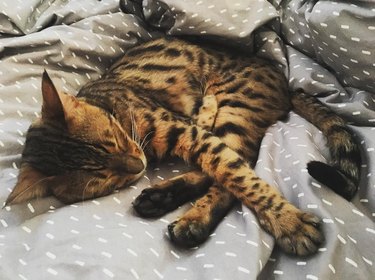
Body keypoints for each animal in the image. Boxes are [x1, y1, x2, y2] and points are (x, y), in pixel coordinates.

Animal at [5, 36, 362, 256]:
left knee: (238, 162)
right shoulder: (188, 132)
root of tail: (286, 82)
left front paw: (288, 221)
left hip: (238, 106)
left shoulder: (184, 130)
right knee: (234, 161)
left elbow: (239, 176)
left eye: (115, 137)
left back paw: (189, 216)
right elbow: (225, 164)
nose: (139, 167)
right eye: (105, 179)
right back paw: (166, 202)